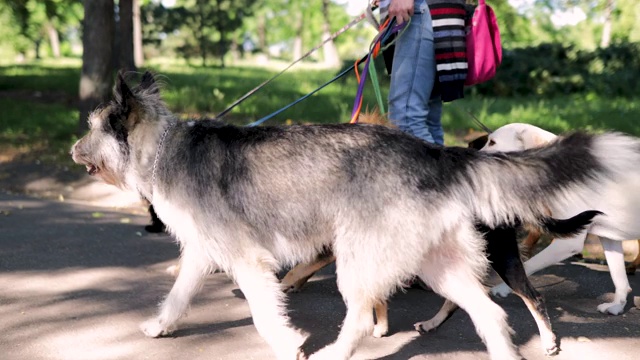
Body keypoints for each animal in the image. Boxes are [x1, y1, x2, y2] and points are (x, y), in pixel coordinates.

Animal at [71, 71, 640, 358]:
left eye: (94, 126)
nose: (75, 148)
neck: (163, 148)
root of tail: (434, 153)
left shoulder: (248, 261)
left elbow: (263, 313)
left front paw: (288, 345)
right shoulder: (203, 254)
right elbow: (177, 296)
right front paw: (160, 326)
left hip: (361, 260)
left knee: (365, 319)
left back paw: (337, 352)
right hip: (435, 265)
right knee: (491, 315)